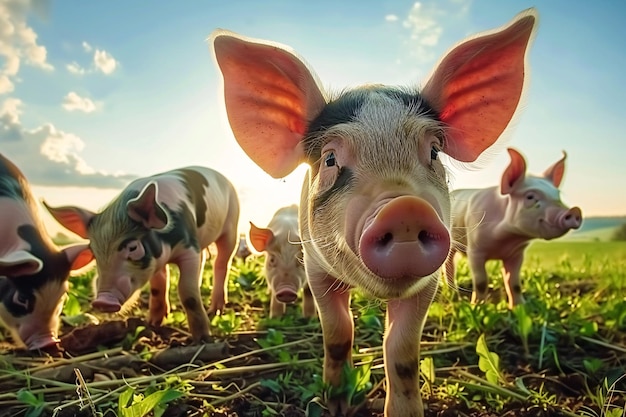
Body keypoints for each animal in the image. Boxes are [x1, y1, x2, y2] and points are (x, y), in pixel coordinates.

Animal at [44, 165, 239, 342]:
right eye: (94, 252)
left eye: (133, 247)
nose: (103, 301)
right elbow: (157, 287)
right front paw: (152, 323)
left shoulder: (189, 247)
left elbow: (187, 292)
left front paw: (202, 339)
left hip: (232, 225)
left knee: (222, 262)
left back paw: (216, 310)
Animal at [210, 8, 536, 416]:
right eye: (330, 158)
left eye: (433, 151)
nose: (405, 208)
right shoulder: (316, 269)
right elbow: (338, 335)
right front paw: (334, 402)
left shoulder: (425, 285)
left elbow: (402, 351)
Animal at [444, 148, 580, 308]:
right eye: (530, 197)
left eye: (558, 195)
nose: (575, 210)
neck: (508, 239)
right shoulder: (475, 251)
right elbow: (481, 281)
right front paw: (478, 307)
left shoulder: (516, 254)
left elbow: (514, 283)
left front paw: (519, 307)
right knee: (449, 266)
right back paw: (454, 295)